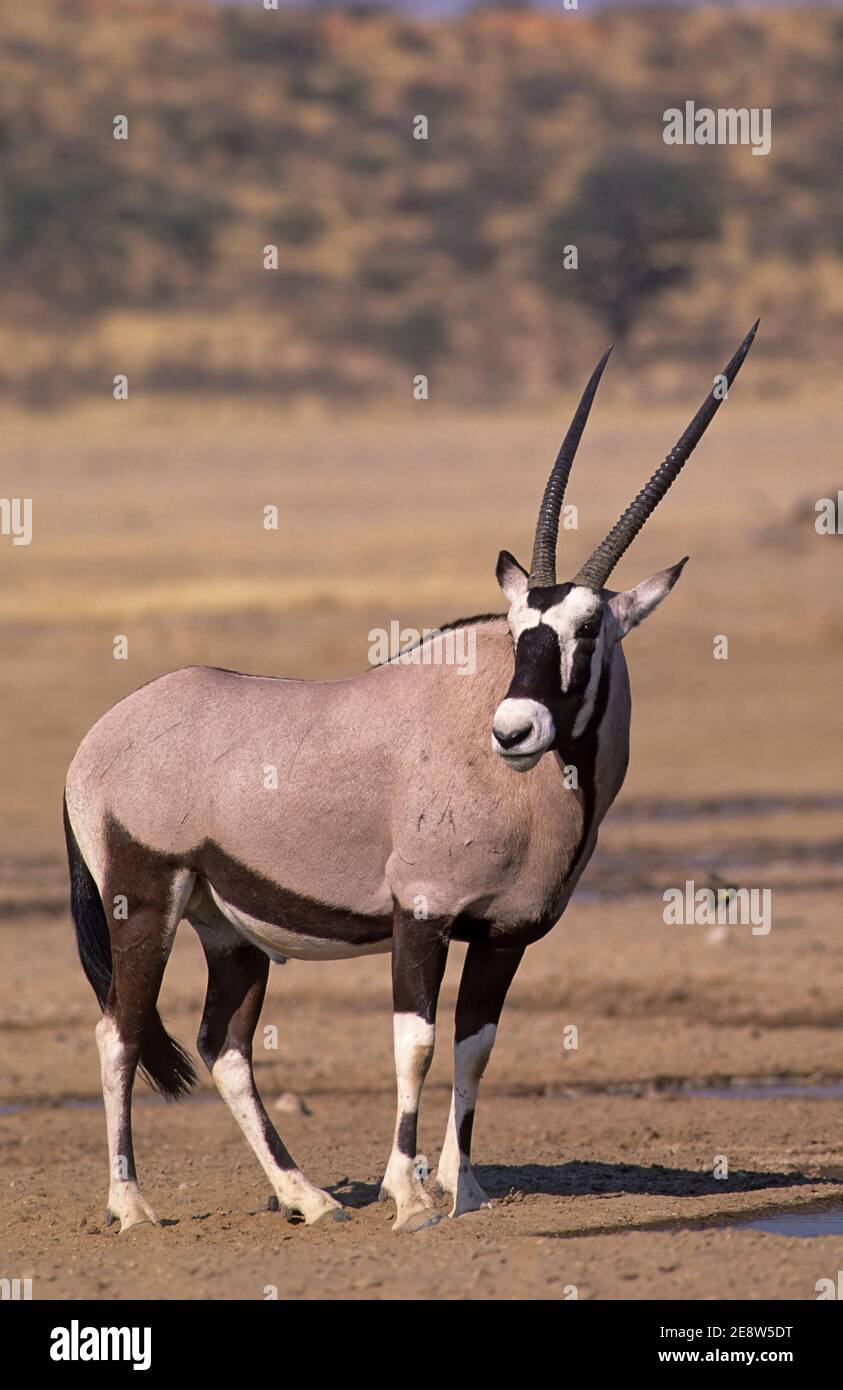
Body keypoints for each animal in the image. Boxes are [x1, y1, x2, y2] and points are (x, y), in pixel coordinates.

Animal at [64, 328, 762, 1239]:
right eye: (518, 628)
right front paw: (411, 1195)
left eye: (587, 628)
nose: (513, 731)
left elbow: (474, 1043)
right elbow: (417, 1041)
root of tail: (95, 741)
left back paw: (308, 1197)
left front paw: (466, 1188)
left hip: (228, 928)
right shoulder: (421, 915)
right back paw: (132, 1204)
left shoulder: (503, 934)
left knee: (225, 1046)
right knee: (119, 1029)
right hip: (144, 899)